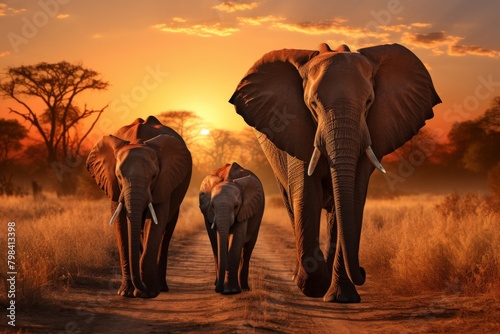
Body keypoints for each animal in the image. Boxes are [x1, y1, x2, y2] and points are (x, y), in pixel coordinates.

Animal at [87, 116, 192, 298]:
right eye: (119, 176)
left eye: (154, 176)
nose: (140, 290)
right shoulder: (114, 187)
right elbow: (121, 224)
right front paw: (125, 292)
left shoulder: (164, 182)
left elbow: (156, 221)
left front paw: (149, 292)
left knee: (166, 232)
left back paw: (161, 287)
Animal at [199, 163, 266, 294]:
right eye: (212, 206)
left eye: (235, 206)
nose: (218, 290)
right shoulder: (209, 213)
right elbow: (216, 241)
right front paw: (223, 287)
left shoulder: (245, 208)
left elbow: (237, 238)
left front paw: (231, 291)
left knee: (248, 249)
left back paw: (244, 288)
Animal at [229, 42, 440, 302]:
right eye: (312, 105)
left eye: (369, 102)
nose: (363, 271)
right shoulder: (296, 130)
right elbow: (307, 196)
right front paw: (312, 286)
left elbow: (353, 201)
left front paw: (342, 297)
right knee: (292, 204)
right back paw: (301, 277)